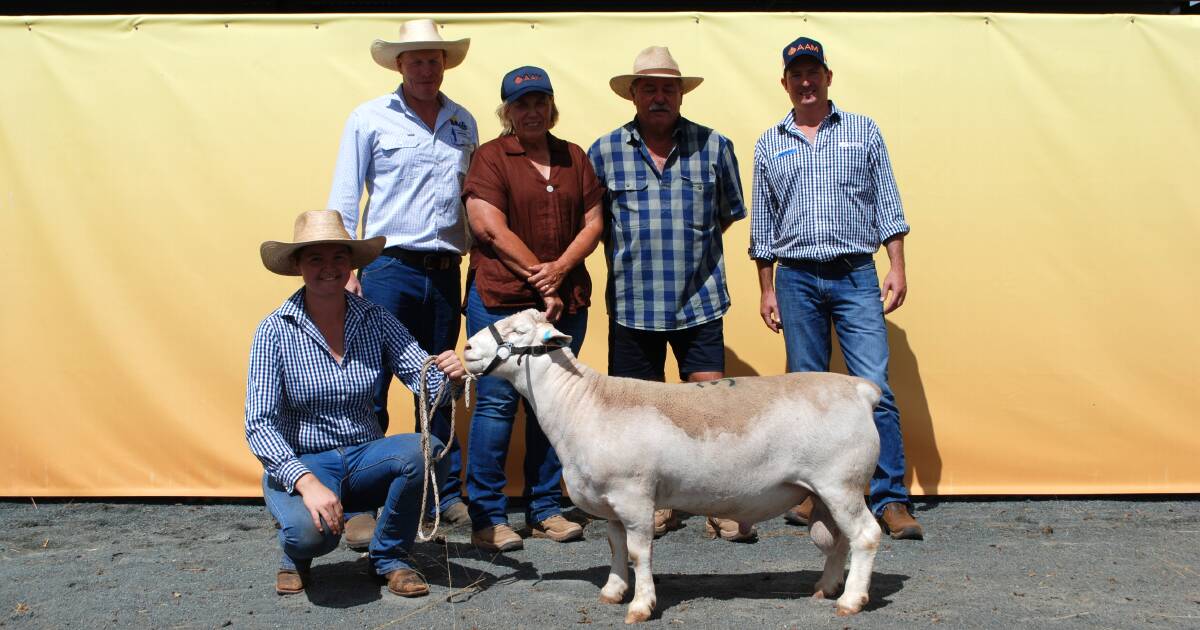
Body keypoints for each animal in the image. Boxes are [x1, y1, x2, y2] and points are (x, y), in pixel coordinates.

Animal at [463, 307, 888, 619]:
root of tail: (860, 389)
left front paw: (640, 606)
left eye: (517, 330)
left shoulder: (634, 496)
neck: (583, 402)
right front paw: (613, 592)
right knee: (839, 539)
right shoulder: (611, 504)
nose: (465, 349)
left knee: (865, 535)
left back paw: (850, 601)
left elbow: (639, 553)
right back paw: (827, 588)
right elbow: (616, 548)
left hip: (842, 483)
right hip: (826, 491)